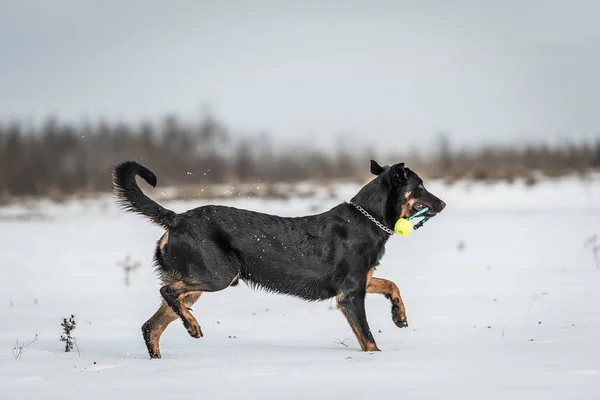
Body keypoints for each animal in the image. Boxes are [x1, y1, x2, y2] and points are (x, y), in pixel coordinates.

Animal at [111, 158, 446, 358]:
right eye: (420, 187)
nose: (443, 203)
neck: (370, 219)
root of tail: (176, 217)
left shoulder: (361, 281)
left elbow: (392, 284)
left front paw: (399, 315)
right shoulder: (350, 295)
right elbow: (368, 339)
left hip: (199, 282)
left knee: (152, 326)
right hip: (218, 275)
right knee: (167, 292)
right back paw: (192, 326)